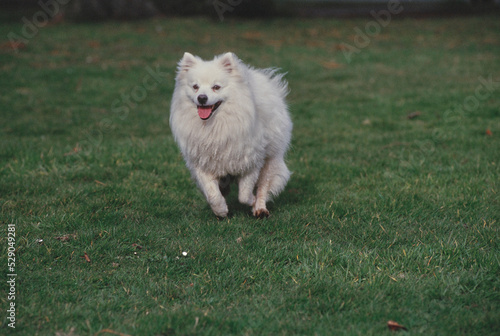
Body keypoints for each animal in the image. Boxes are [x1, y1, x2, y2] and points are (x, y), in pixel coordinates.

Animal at [170, 51, 292, 217]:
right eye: (195, 87)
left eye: (216, 87)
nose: (202, 97)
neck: (215, 125)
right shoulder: (202, 163)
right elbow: (212, 194)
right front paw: (220, 210)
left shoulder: (251, 162)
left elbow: (244, 195)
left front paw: (252, 202)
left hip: (270, 160)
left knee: (263, 186)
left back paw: (260, 209)